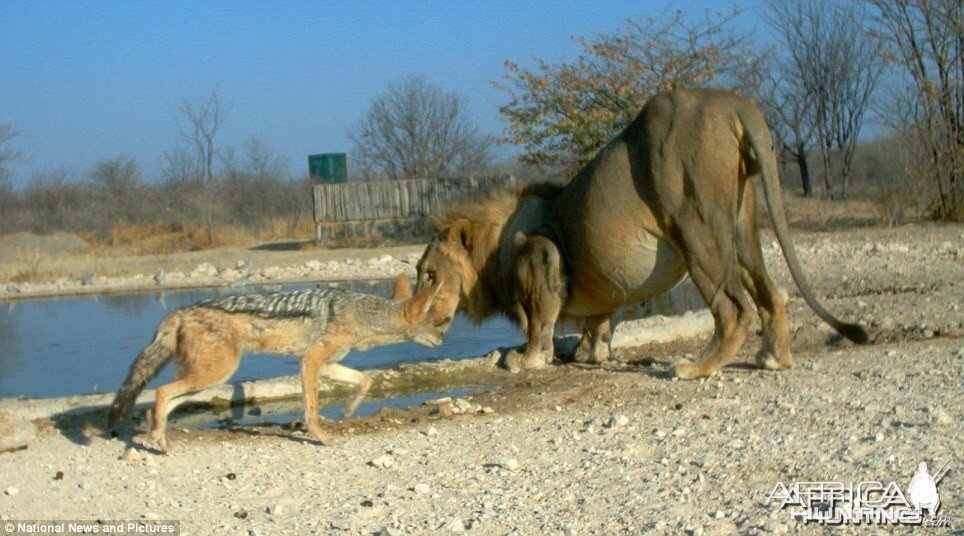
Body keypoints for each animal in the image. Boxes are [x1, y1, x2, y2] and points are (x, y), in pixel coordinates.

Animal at [412, 89, 868, 376]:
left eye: (430, 275)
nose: (411, 318)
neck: (493, 250)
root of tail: (732, 103)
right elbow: (599, 319)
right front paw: (589, 351)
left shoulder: (540, 250)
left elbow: (540, 319)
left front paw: (526, 358)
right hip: (739, 227)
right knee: (771, 293)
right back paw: (773, 359)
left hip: (695, 227)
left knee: (734, 307)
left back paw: (696, 368)